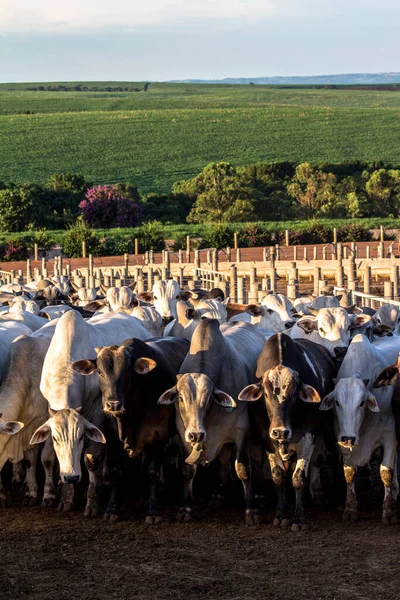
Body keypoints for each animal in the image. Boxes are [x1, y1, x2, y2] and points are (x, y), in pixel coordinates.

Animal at [73, 338, 189, 520]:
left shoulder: (158, 437)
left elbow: (153, 473)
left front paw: (153, 511)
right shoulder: (112, 439)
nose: (113, 404)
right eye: (99, 372)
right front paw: (112, 509)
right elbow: (116, 472)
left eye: (127, 372)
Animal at [241, 332, 338, 528]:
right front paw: (280, 516)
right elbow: (278, 476)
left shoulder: (308, 435)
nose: (280, 431)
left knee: (320, 459)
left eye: (294, 394)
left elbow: (298, 477)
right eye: (265, 394)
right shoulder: (266, 436)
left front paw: (299, 519)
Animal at [320, 332, 400, 524]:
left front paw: (388, 512)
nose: (349, 438)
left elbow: (386, 472)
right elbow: (349, 472)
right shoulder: (341, 437)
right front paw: (350, 509)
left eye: (362, 402)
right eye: (337, 402)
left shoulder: (390, 436)